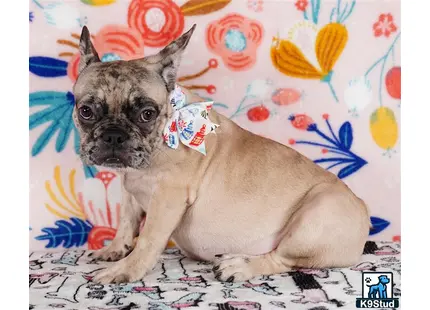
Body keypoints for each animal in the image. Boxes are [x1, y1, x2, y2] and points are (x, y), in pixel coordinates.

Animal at [74, 25, 370, 284]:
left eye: (147, 114)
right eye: (85, 111)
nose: (114, 135)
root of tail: (364, 212)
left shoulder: (168, 198)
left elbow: (148, 239)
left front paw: (126, 269)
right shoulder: (130, 188)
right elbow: (126, 220)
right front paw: (115, 249)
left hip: (315, 216)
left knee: (281, 259)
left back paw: (239, 265)